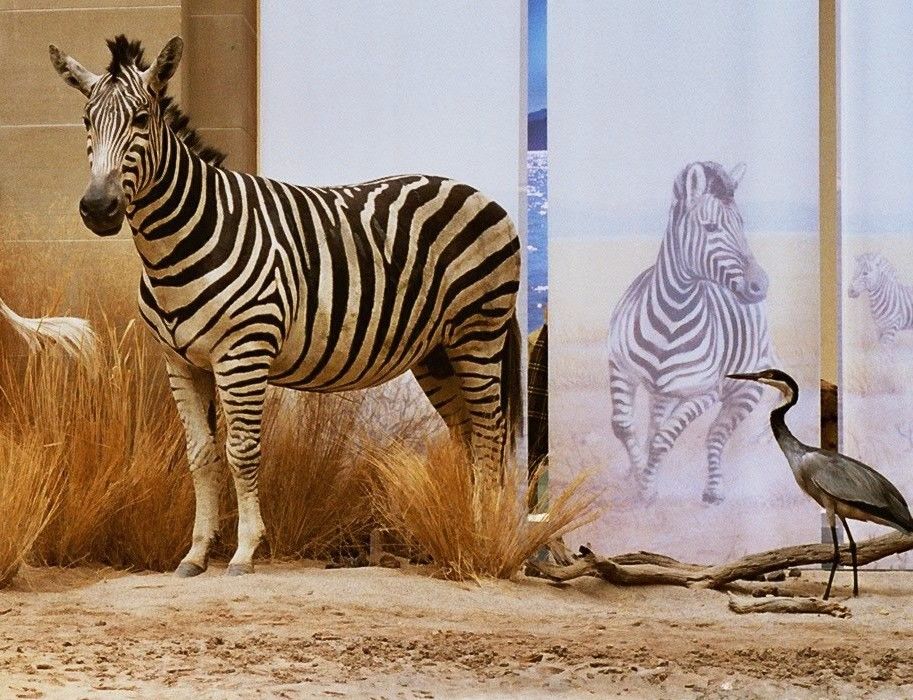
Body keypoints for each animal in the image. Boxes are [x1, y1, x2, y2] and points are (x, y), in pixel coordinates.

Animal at [50, 35, 522, 577]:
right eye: (86, 121)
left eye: (142, 120)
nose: (97, 210)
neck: (180, 242)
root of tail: (482, 195)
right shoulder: (181, 362)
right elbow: (200, 455)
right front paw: (195, 554)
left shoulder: (243, 354)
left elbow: (241, 451)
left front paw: (244, 551)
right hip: (437, 351)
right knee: (467, 436)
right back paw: (465, 530)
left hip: (477, 333)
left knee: (489, 434)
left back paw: (483, 538)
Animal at [608, 161, 774, 505]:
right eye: (710, 227)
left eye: (742, 224)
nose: (760, 286)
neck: (671, 315)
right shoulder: (619, 367)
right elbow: (624, 427)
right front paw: (639, 476)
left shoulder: (703, 392)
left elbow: (664, 439)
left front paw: (647, 489)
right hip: (662, 393)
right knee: (654, 426)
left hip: (744, 390)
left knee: (715, 435)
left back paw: (713, 490)